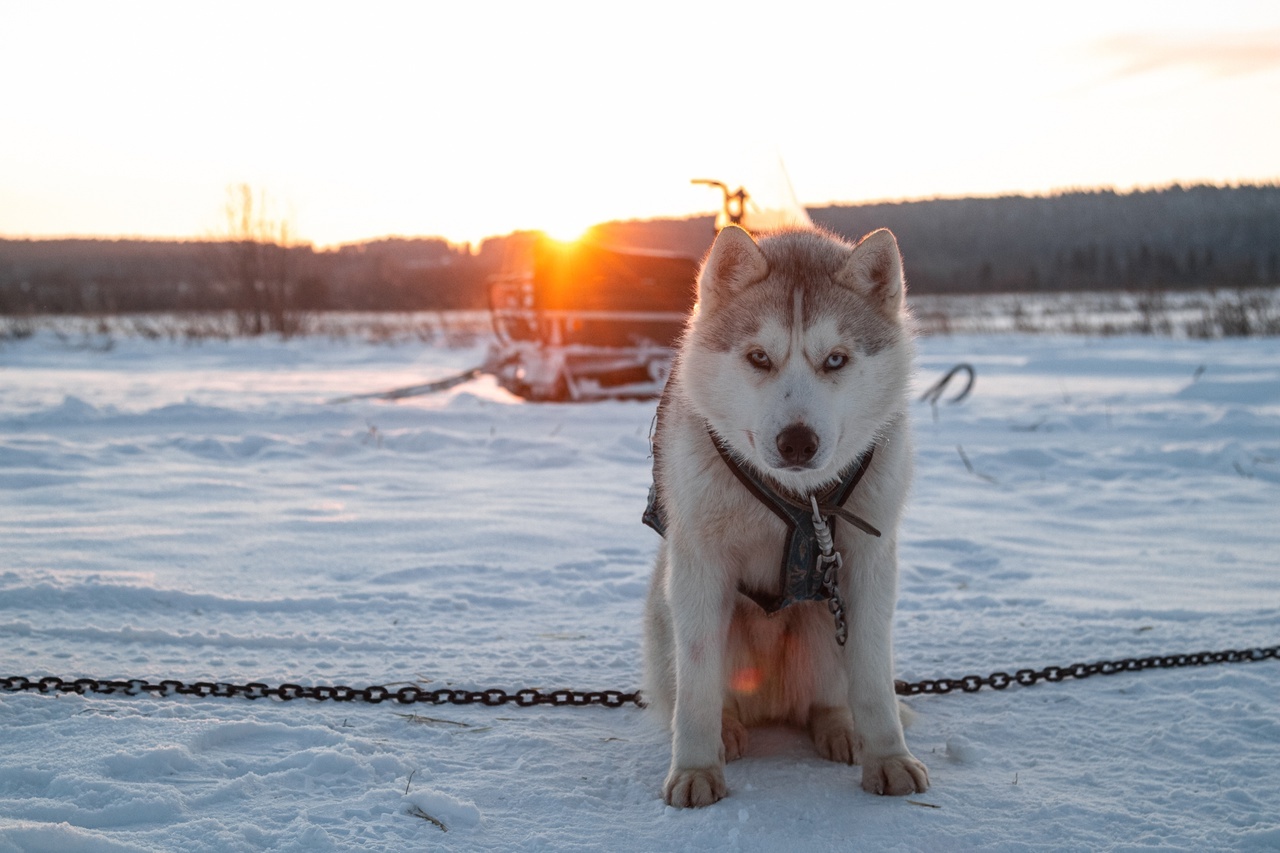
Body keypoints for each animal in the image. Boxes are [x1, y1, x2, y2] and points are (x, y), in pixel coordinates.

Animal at [645, 220, 926, 804]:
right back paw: (729, 729)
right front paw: (695, 768)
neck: (803, 500)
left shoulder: (867, 564)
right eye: (759, 357)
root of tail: (772, 700)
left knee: (831, 695)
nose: (797, 442)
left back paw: (840, 728)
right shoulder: (700, 566)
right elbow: (697, 692)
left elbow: (873, 681)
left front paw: (889, 757)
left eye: (836, 359)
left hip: (824, 619)